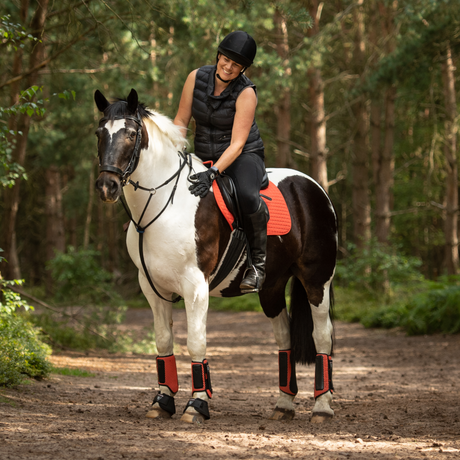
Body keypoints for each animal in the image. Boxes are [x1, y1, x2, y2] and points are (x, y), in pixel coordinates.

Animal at [94, 89, 338, 424]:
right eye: (99, 133)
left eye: (131, 134)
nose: (107, 186)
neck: (164, 204)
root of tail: (313, 187)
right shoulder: (153, 288)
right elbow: (163, 342)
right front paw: (162, 402)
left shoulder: (195, 287)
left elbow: (196, 343)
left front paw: (196, 405)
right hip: (272, 288)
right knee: (284, 339)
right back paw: (283, 405)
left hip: (317, 281)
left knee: (323, 337)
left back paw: (322, 408)